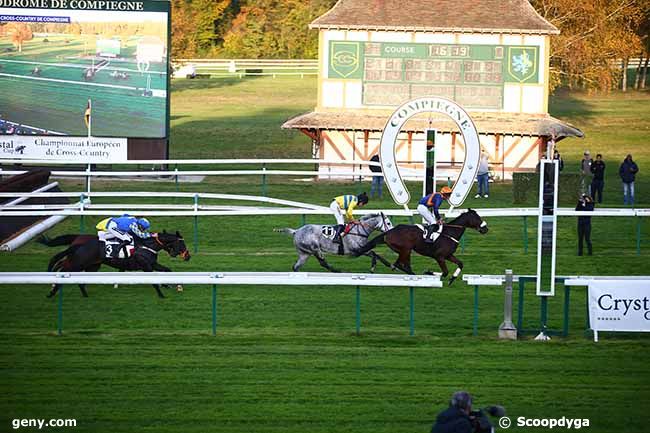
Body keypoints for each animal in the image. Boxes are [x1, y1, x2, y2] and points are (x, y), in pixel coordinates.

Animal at [40, 231, 190, 298]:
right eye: (182, 244)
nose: (188, 256)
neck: (147, 245)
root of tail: (79, 243)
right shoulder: (145, 266)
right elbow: (154, 281)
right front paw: (161, 294)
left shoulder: (152, 264)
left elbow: (167, 270)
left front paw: (175, 285)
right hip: (78, 263)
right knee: (63, 268)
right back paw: (52, 291)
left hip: (92, 266)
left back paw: (84, 294)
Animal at [354, 208, 486, 284]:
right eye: (477, 218)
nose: (486, 228)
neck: (450, 233)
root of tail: (389, 232)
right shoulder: (439, 257)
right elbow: (444, 272)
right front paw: (428, 272)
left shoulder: (448, 255)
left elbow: (460, 264)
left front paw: (452, 279)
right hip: (406, 249)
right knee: (398, 264)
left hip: (405, 251)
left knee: (401, 265)